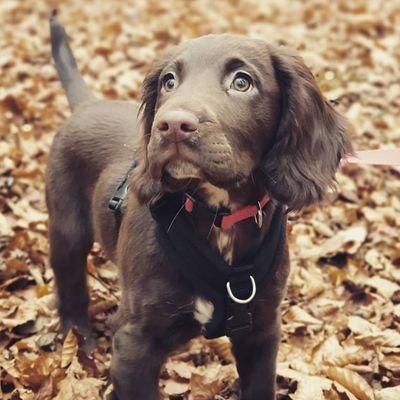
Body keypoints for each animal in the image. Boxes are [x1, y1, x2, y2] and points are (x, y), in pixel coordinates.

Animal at [46, 11, 354, 400]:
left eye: (242, 82)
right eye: (169, 81)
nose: (172, 125)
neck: (219, 215)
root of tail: (88, 105)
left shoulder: (261, 330)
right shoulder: (133, 344)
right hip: (67, 229)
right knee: (70, 286)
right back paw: (80, 339)